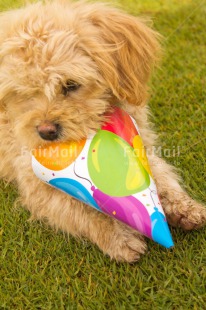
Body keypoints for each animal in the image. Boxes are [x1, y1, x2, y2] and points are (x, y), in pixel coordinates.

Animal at [0, 0, 206, 262]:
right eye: (22, 93)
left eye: (70, 85)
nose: (45, 132)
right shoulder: (34, 180)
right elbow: (79, 208)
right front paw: (118, 236)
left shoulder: (139, 143)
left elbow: (160, 175)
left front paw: (183, 207)